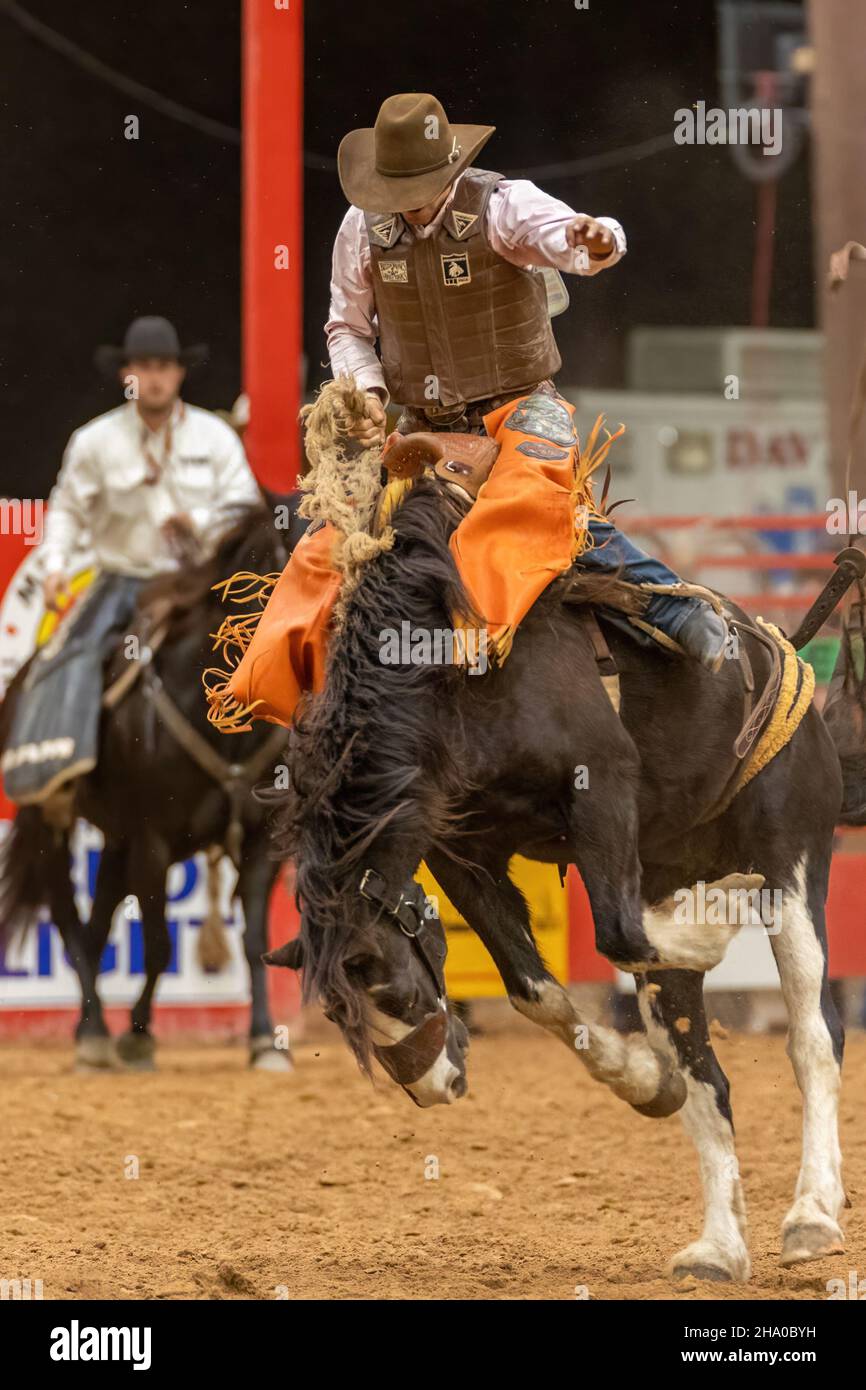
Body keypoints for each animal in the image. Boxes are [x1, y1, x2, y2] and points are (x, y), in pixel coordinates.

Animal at [0, 503, 307, 1073]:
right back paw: (96, 1033)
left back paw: (89, 1027)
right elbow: (161, 943)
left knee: (97, 924)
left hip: (116, 839)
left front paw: (263, 1042)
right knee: (70, 922)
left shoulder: (261, 841)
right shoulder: (153, 841)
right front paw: (138, 1036)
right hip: (48, 821)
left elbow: (255, 939)